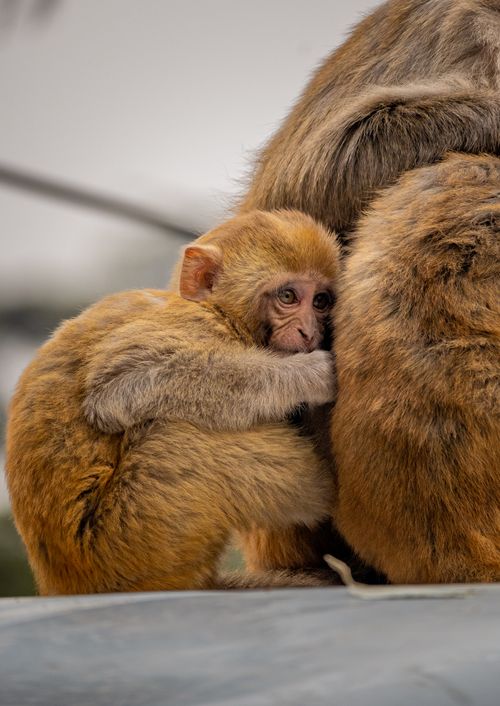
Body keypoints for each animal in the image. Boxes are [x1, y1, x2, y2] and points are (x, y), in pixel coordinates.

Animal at [5, 209, 341, 595]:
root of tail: (67, 581)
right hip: (134, 539)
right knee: (175, 432)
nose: (308, 332)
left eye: (320, 301)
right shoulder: (195, 324)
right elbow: (118, 384)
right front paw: (312, 375)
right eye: (288, 295)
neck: (219, 311)